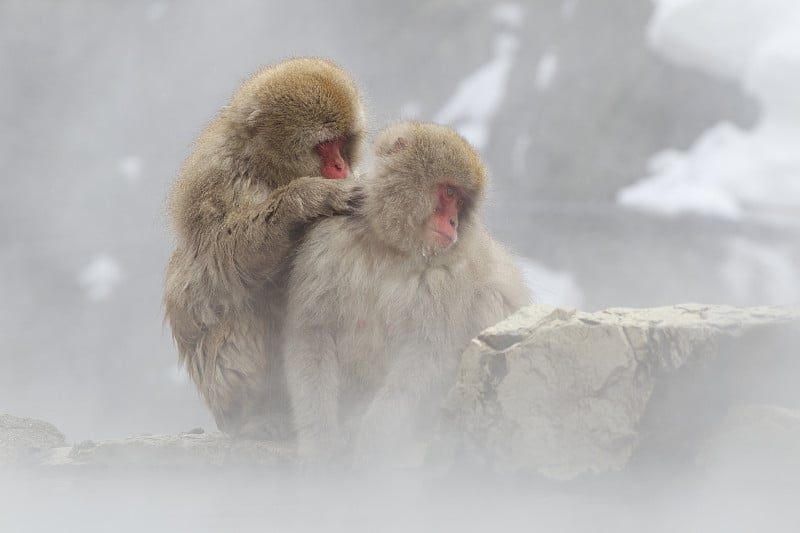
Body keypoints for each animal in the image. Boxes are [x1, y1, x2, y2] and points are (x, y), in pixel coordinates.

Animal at [164, 57, 368, 436]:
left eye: (343, 141)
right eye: (323, 144)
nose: (340, 165)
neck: (265, 167)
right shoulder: (219, 180)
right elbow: (220, 260)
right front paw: (306, 198)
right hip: (220, 392)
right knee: (239, 309)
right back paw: (255, 418)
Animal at [282, 121, 532, 466]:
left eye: (462, 203)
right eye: (450, 192)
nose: (454, 222)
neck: (391, 246)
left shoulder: (449, 276)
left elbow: (428, 350)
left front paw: (373, 439)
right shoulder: (326, 240)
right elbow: (311, 333)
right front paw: (320, 442)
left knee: (487, 298)